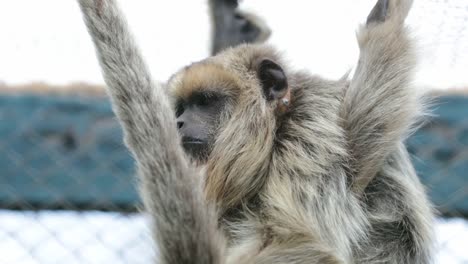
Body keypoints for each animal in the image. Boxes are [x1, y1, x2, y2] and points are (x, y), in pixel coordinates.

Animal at [77, 0, 436, 262]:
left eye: (204, 102)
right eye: (181, 109)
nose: (178, 122)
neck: (275, 130)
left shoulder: (311, 132)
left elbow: (303, 242)